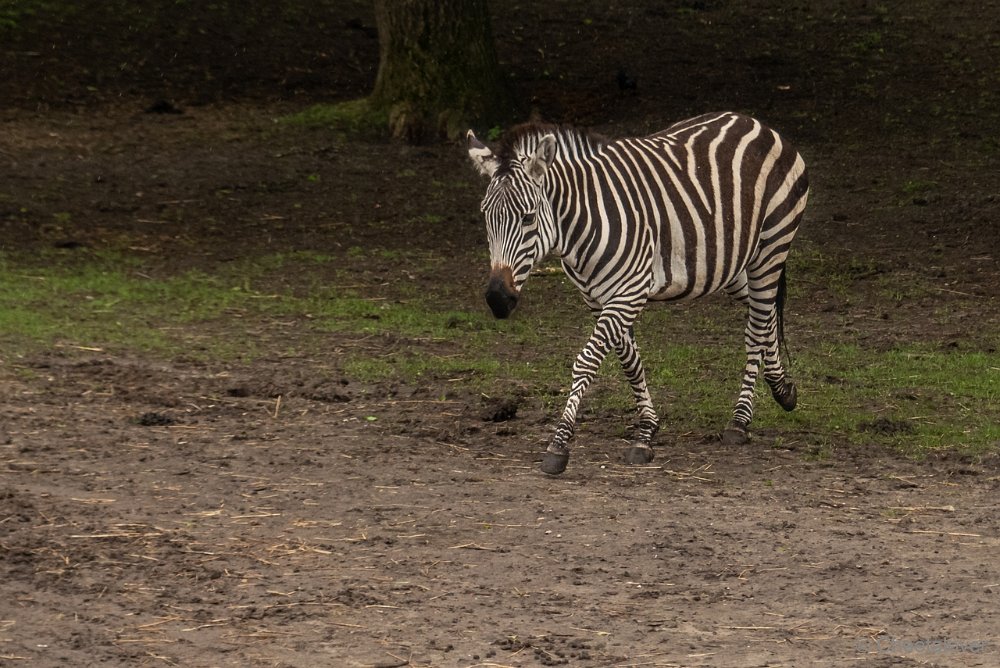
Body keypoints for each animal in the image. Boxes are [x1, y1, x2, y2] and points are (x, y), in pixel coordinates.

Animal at [468, 111, 812, 474]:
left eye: (529, 217)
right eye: (486, 216)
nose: (498, 300)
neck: (580, 223)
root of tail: (754, 122)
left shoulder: (628, 293)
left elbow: (587, 361)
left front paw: (559, 445)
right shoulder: (600, 298)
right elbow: (629, 361)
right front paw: (647, 429)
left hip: (771, 247)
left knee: (756, 326)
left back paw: (740, 420)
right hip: (727, 264)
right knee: (765, 311)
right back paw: (782, 389)